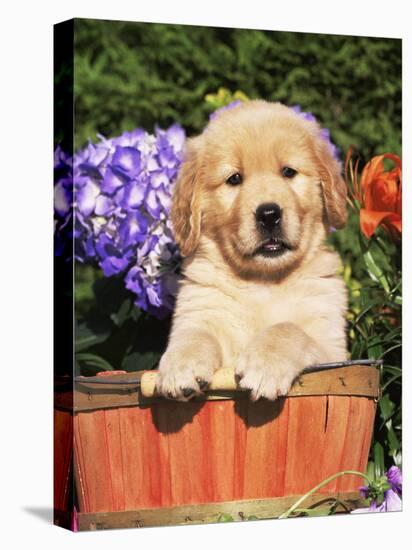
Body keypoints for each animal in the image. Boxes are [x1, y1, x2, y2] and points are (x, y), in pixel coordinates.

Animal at [156, 100, 346, 402]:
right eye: (234, 178)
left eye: (288, 172)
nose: (269, 214)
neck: (264, 282)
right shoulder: (199, 309)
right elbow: (194, 334)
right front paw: (180, 365)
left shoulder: (333, 350)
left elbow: (288, 328)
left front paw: (265, 364)